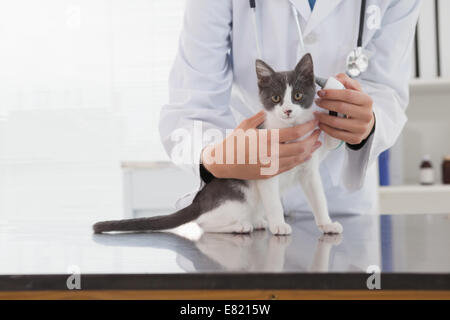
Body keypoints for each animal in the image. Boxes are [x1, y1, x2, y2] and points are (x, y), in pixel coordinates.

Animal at [93, 53, 342, 235]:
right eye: (276, 98)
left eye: (298, 95)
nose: (288, 110)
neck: (289, 130)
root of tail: (200, 200)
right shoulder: (266, 172)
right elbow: (273, 201)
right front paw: (279, 224)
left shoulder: (309, 166)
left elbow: (318, 197)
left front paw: (327, 223)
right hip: (238, 196)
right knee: (205, 223)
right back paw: (240, 225)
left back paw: (258, 221)